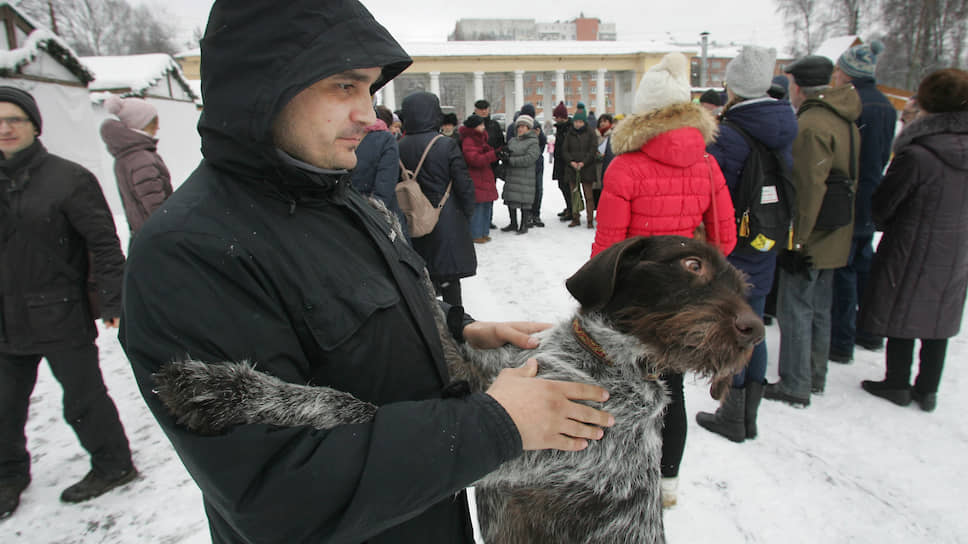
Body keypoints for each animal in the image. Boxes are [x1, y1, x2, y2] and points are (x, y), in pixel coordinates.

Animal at [153, 235, 764, 544]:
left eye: (740, 281)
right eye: (692, 264)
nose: (754, 330)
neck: (600, 358)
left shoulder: (502, 454)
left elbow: (348, 405)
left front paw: (218, 389)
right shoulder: (490, 376)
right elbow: (438, 318)